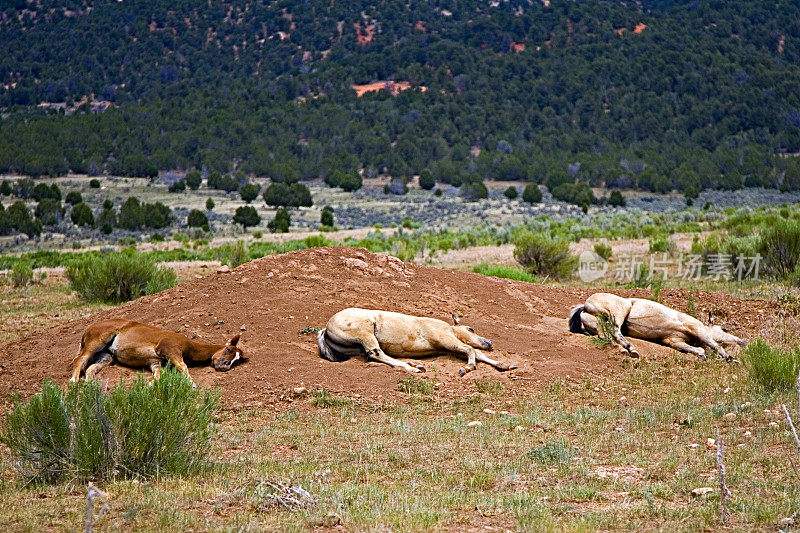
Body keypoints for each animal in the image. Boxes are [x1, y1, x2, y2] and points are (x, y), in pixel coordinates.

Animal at [69, 318, 244, 384]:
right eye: (228, 349)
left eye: (237, 360)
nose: (225, 366)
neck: (188, 346)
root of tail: (88, 329)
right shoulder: (171, 350)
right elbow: (183, 366)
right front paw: (192, 384)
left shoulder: (155, 363)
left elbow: (159, 376)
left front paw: (149, 385)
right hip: (96, 342)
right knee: (80, 360)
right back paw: (73, 381)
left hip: (107, 356)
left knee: (91, 368)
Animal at [316, 306, 516, 376]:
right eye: (471, 329)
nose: (489, 342)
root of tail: (326, 329)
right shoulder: (446, 339)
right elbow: (470, 350)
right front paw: (467, 368)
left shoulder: (448, 347)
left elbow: (476, 353)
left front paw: (504, 365)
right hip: (365, 333)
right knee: (375, 353)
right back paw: (414, 368)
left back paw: (414, 365)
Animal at [568, 290, 744, 362]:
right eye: (724, 329)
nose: (741, 341)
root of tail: (585, 305)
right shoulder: (697, 329)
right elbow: (713, 344)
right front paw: (730, 358)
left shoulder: (673, 341)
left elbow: (694, 348)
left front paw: (701, 354)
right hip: (619, 311)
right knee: (616, 331)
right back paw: (630, 348)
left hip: (599, 324)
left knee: (606, 336)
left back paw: (625, 350)